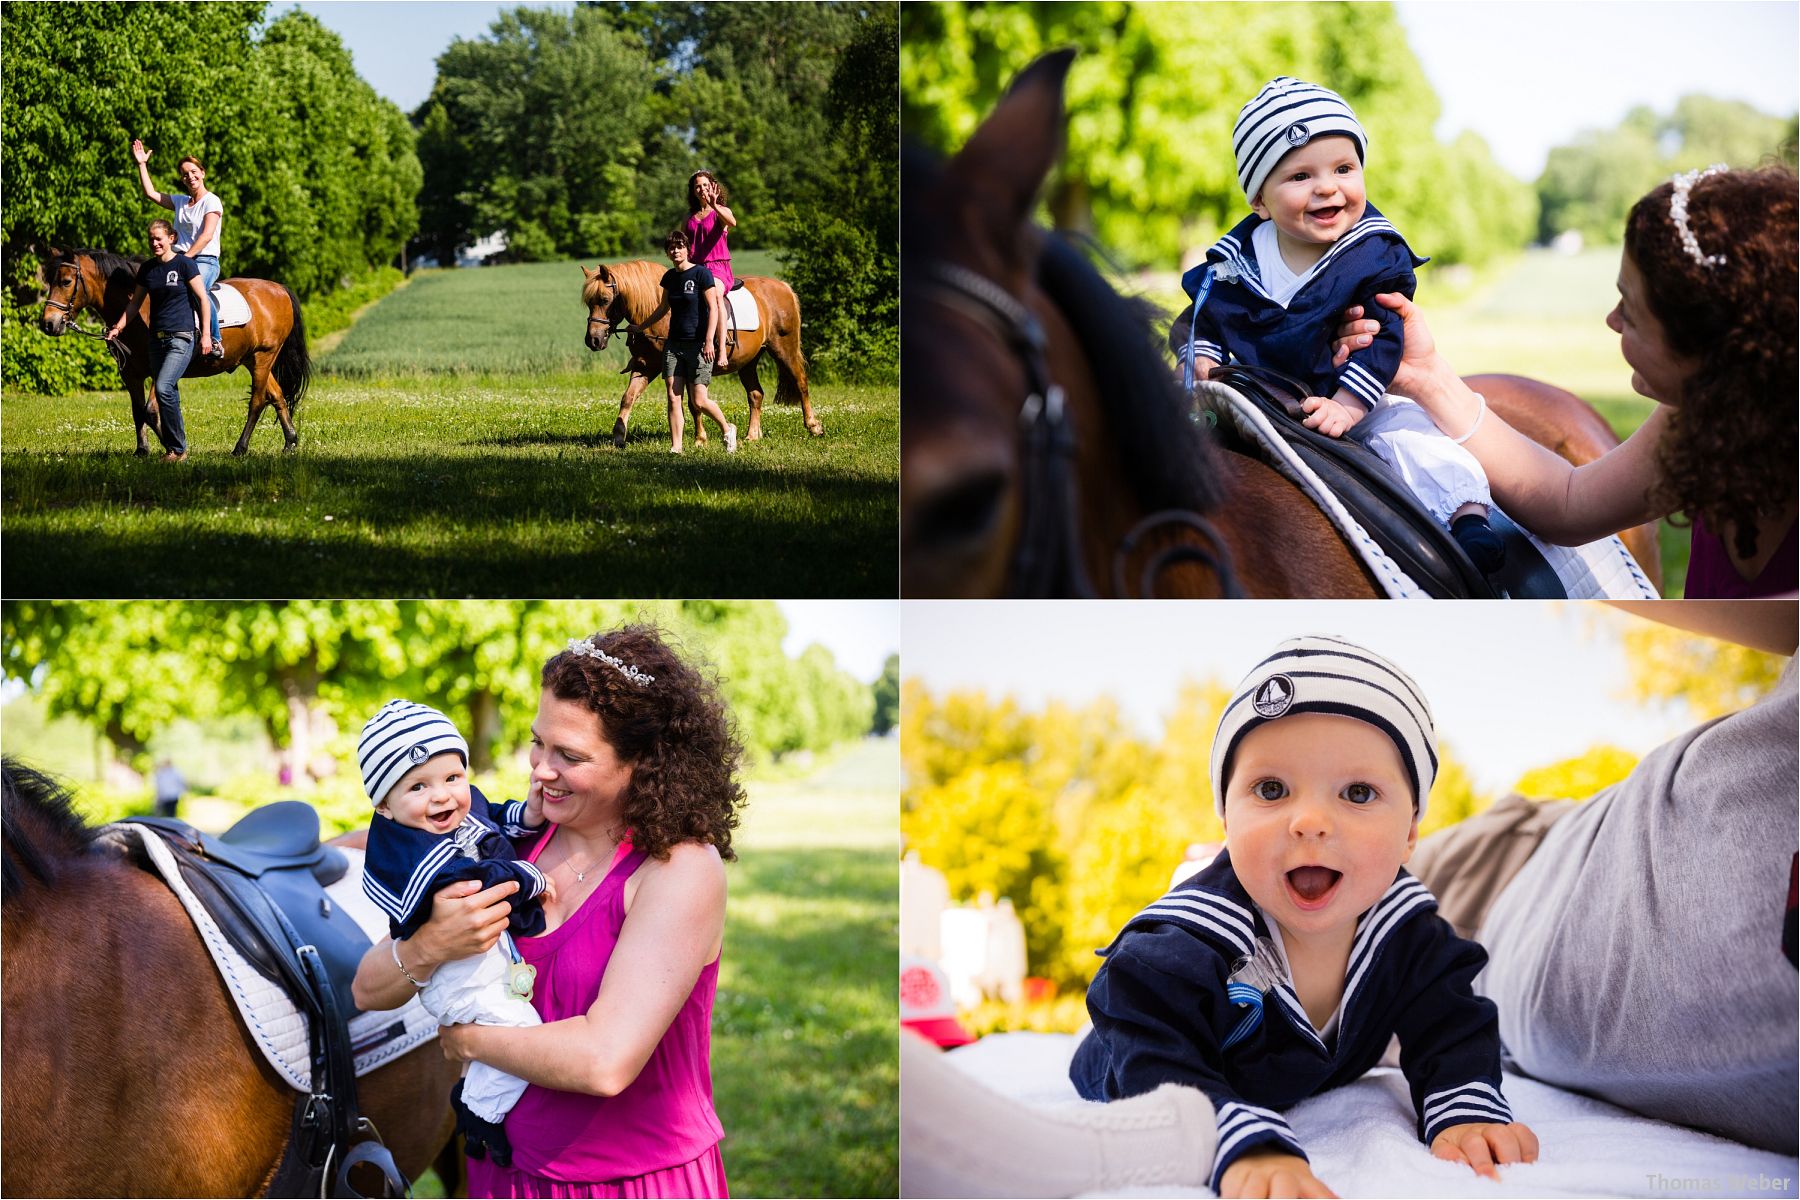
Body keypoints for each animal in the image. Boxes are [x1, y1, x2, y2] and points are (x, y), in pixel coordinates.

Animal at [39, 248, 313, 460]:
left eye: (65, 282)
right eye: (49, 281)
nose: (48, 324)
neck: (140, 310)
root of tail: (279, 289)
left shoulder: (160, 369)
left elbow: (151, 410)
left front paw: (174, 447)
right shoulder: (130, 374)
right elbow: (138, 410)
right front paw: (142, 450)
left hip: (263, 357)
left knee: (257, 401)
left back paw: (240, 448)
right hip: (253, 360)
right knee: (277, 395)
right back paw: (290, 442)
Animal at [583, 260, 824, 447]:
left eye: (605, 300)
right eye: (588, 302)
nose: (592, 340)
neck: (660, 315)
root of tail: (783, 287)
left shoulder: (686, 368)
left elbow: (693, 404)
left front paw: (700, 439)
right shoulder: (646, 367)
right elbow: (628, 398)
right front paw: (618, 436)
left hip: (785, 349)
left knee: (801, 382)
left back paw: (813, 426)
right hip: (748, 361)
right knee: (756, 394)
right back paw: (752, 435)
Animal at [907, 53, 1663, 597]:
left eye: (1345, 165)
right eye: (1301, 176)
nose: (1331, 193)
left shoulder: (1382, 290)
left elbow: (1375, 340)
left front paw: (1333, 410)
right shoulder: (1217, 284)